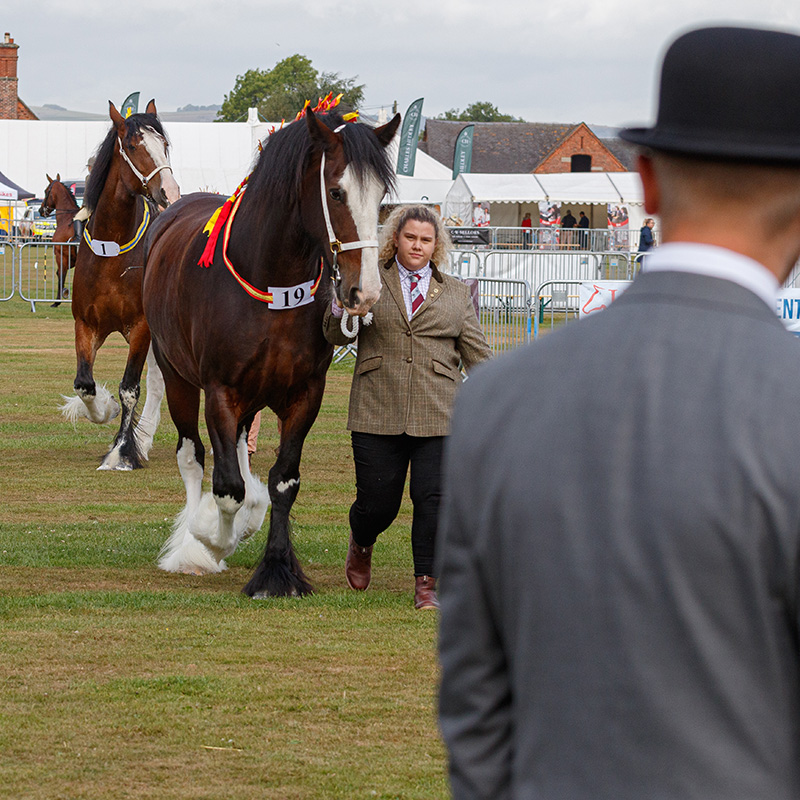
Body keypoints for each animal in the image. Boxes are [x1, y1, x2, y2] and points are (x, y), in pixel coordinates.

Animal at [38, 175, 79, 306]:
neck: (67, 219)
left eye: (46, 191)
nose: (41, 210)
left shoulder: (61, 254)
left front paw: (57, 300)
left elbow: (61, 273)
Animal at [58, 103, 180, 472]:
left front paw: (122, 452)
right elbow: (84, 385)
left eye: (164, 145)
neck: (111, 252)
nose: (170, 192)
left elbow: (130, 389)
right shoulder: (86, 326)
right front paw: (105, 406)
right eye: (134, 146)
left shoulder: (140, 329)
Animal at [144, 104, 400, 592]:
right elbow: (226, 487)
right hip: (177, 377)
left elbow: (284, 481)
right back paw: (191, 547)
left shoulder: (304, 394)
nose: (365, 291)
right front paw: (212, 538)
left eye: (380, 197)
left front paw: (277, 568)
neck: (270, 280)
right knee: (193, 457)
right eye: (336, 192)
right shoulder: (220, 392)